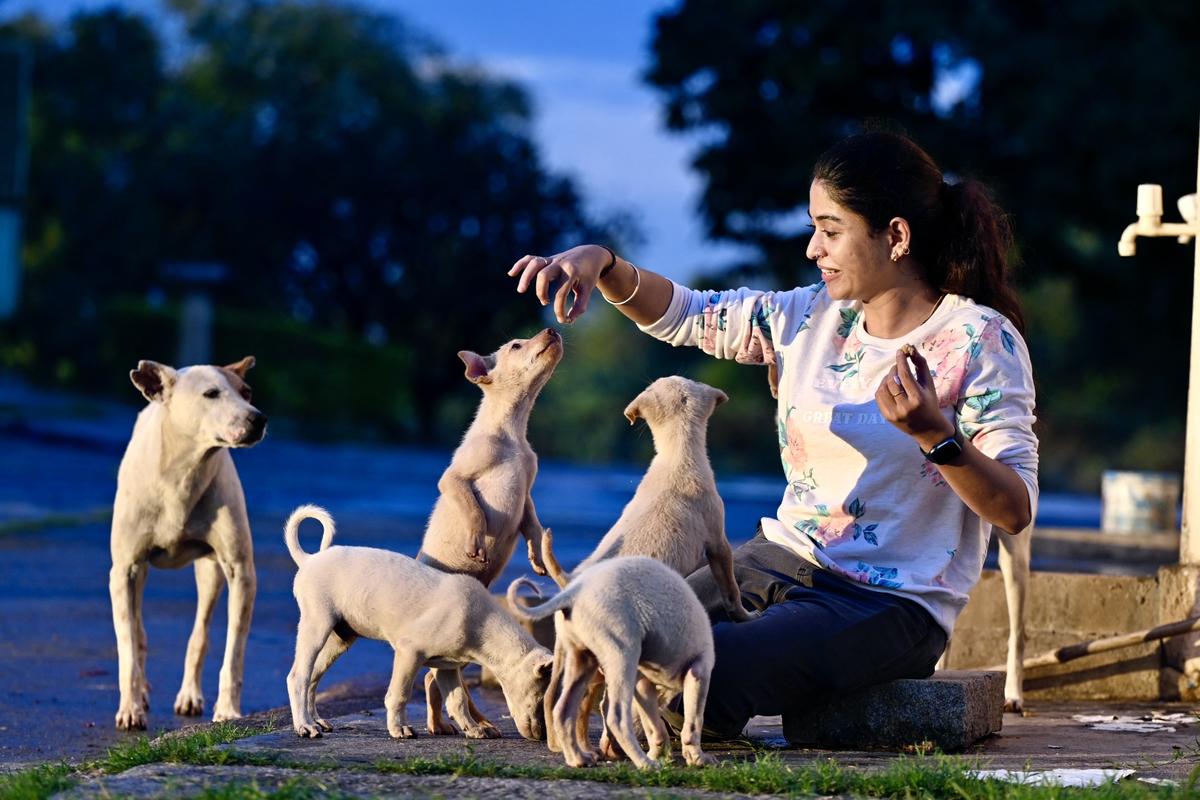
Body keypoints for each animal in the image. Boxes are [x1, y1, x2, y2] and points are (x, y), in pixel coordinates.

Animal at [109, 357, 266, 734]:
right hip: (138, 575)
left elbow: (233, 650)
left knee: (200, 632)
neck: (183, 474)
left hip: (210, 572)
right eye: (211, 393)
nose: (258, 418)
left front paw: (228, 710)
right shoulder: (123, 570)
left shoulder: (241, 571)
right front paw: (130, 708)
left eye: (247, 392)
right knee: (137, 629)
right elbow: (127, 647)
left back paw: (190, 696)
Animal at [285, 506, 552, 743]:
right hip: (316, 626)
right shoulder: (408, 653)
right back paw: (305, 726)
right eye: (541, 698)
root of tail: (309, 560)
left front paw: (473, 729)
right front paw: (399, 729)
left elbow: (457, 700)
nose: (542, 736)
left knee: (313, 678)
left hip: (340, 638)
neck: (481, 624)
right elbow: (399, 694)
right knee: (298, 676)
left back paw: (316, 720)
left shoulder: (447, 667)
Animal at [417, 328, 561, 734]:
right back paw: (441, 725)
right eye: (515, 345)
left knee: (440, 679)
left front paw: (538, 558)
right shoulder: (453, 479)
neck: (513, 432)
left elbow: (533, 525)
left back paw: (470, 722)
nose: (552, 329)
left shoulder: (526, 494)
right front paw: (476, 542)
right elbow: (473, 508)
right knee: (434, 678)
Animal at [506, 556, 710, 767]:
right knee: (616, 718)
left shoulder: (643, 684)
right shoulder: (700, 670)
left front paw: (661, 752)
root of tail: (573, 592)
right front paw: (697, 757)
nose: (610, 750)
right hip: (622, 652)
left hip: (582, 659)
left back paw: (579, 759)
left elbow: (654, 725)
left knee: (563, 710)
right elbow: (693, 720)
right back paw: (644, 764)